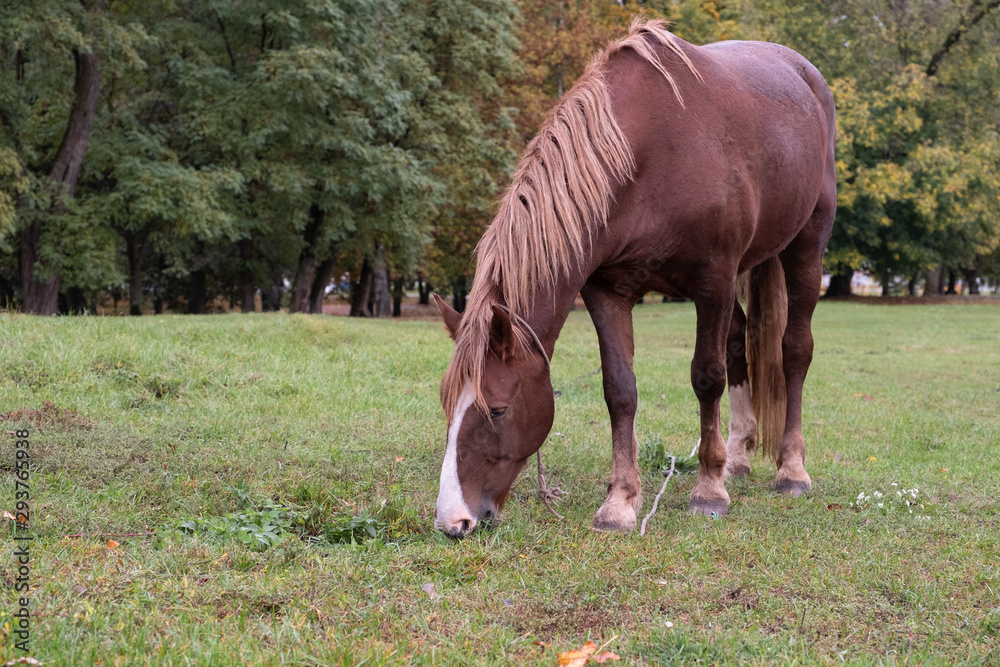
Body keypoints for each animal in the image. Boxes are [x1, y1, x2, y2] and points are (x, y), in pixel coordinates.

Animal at [432, 18, 836, 538]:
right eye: (448, 406)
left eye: (497, 409)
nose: (452, 519)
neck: (646, 154)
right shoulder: (607, 290)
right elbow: (619, 391)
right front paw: (620, 501)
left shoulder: (713, 282)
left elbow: (707, 377)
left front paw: (708, 490)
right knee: (739, 343)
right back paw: (737, 457)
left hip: (805, 247)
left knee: (794, 351)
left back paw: (790, 470)